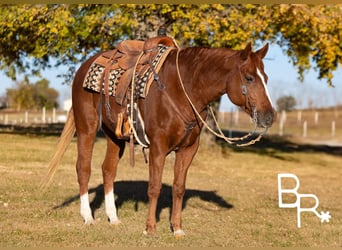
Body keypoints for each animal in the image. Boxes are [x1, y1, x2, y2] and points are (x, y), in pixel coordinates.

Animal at [40, 40, 276, 236]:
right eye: (249, 78)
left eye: (266, 78)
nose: (269, 116)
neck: (182, 88)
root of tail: (83, 68)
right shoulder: (158, 147)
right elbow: (154, 187)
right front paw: (150, 228)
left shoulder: (188, 149)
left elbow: (179, 188)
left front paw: (177, 228)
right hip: (86, 128)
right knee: (83, 168)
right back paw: (88, 217)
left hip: (114, 136)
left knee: (108, 170)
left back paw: (113, 218)